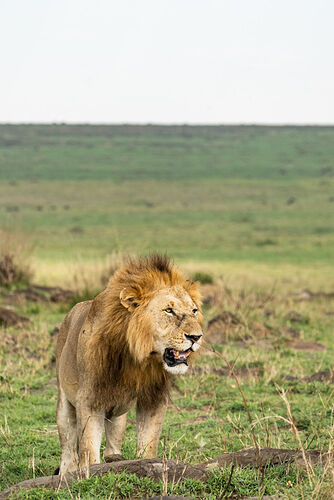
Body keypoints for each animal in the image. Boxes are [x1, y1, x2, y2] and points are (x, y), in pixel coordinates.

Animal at [55, 254, 204, 472]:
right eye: (168, 310)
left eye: (194, 310)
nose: (196, 337)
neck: (137, 357)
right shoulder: (89, 399)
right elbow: (88, 449)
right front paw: (91, 472)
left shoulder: (154, 398)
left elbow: (148, 443)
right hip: (64, 404)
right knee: (68, 450)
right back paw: (68, 472)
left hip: (117, 415)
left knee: (112, 441)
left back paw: (115, 458)